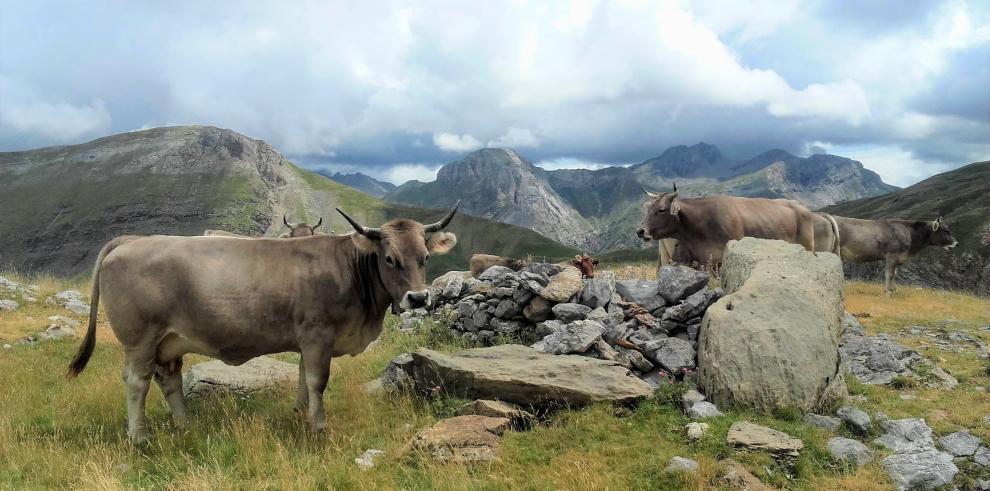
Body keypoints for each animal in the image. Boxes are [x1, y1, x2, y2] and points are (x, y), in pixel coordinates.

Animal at [66, 202, 462, 444]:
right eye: (390, 258)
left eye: (425, 257)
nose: (418, 298)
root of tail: (131, 240)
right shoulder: (318, 334)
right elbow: (318, 381)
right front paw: (319, 427)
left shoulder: (307, 340)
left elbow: (303, 378)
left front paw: (300, 416)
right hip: (140, 338)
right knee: (137, 382)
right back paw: (139, 437)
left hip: (170, 340)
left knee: (169, 379)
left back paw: (186, 424)